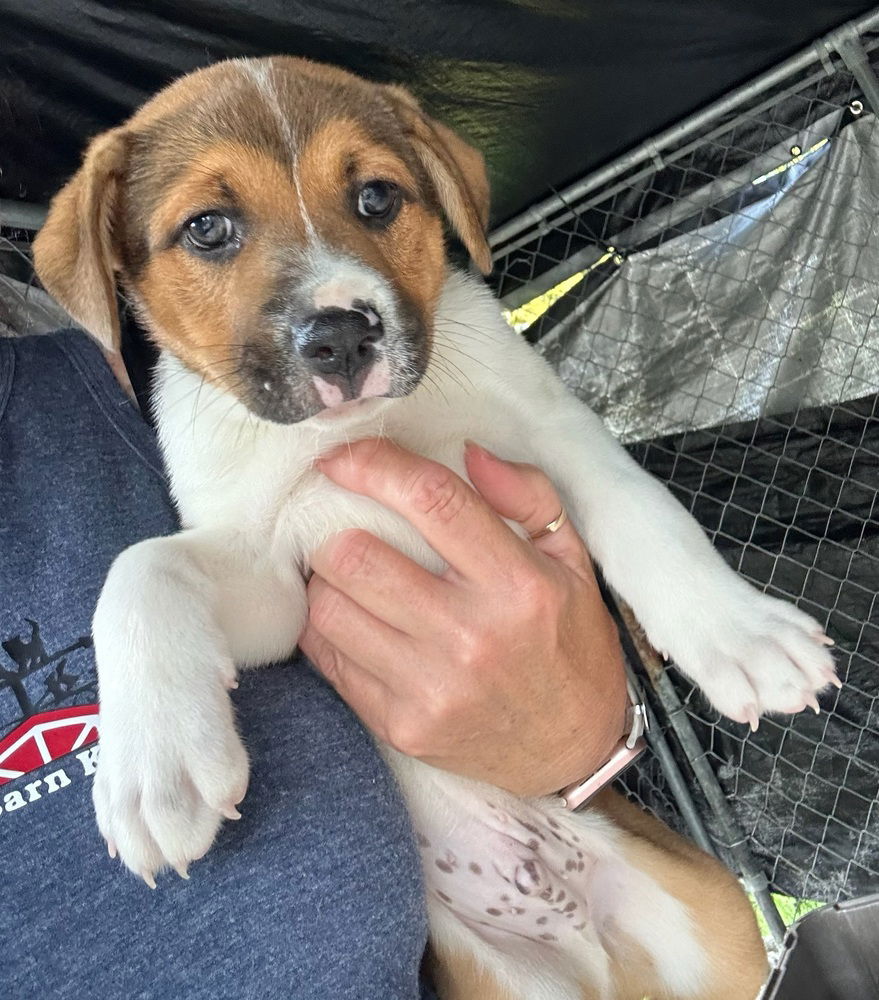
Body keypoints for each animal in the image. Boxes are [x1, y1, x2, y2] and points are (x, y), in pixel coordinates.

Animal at [31, 56, 836, 1000]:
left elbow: (649, 519)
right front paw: (153, 768)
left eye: (377, 197)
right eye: (208, 228)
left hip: (718, 934)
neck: (358, 431)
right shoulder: (273, 583)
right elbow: (143, 567)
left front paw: (741, 637)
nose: (340, 336)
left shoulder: (555, 437)